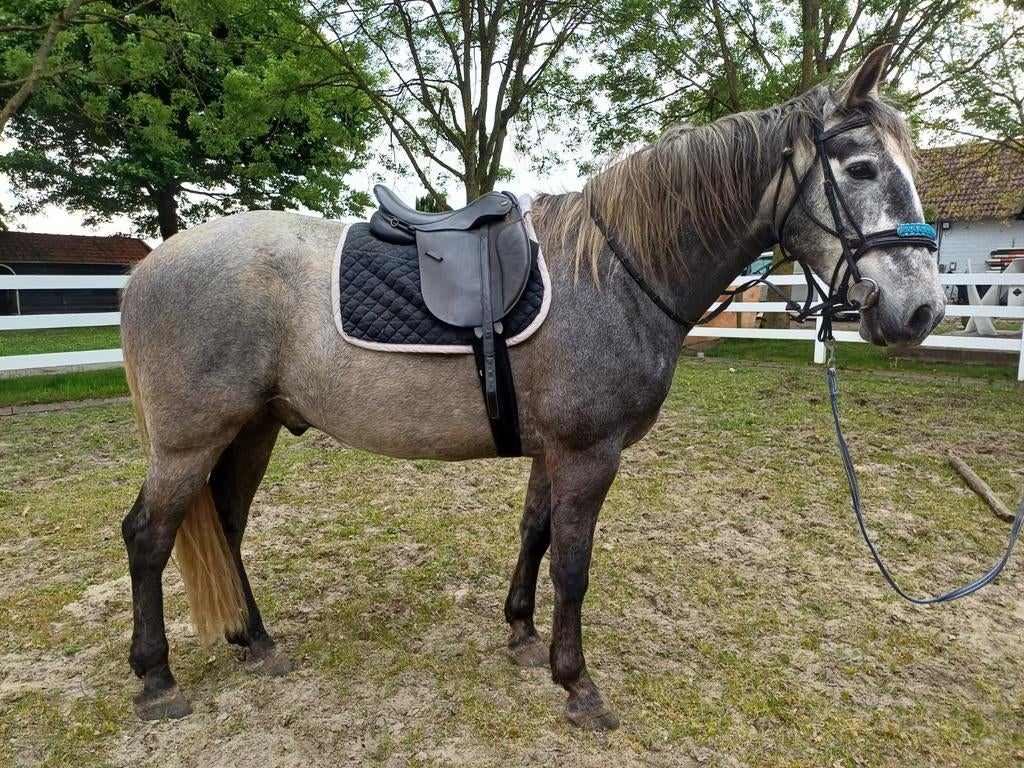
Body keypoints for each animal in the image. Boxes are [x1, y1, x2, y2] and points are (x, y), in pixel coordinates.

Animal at [118, 45, 945, 729]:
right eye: (862, 168)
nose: (921, 310)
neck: (614, 274)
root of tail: (149, 267)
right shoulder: (588, 453)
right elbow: (573, 565)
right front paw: (576, 683)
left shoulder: (554, 451)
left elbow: (535, 535)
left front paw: (520, 631)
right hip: (190, 441)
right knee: (149, 537)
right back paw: (156, 680)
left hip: (250, 430)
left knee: (225, 528)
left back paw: (254, 641)